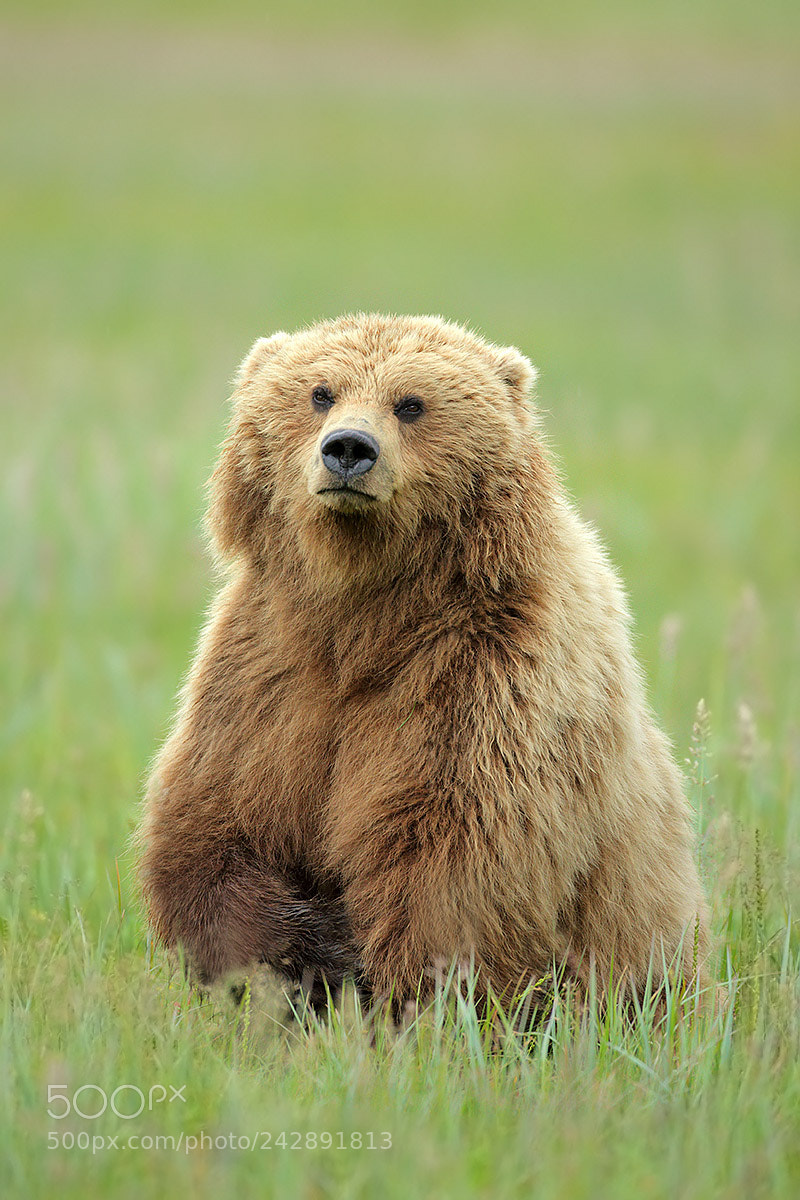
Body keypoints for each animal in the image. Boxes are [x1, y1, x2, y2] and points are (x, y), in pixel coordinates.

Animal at [138, 312, 709, 1011]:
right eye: (321, 392)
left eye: (410, 403)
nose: (348, 448)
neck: (367, 615)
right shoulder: (266, 671)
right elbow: (215, 828)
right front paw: (308, 956)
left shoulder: (486, 675)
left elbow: (455, 849)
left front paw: (401, 994)